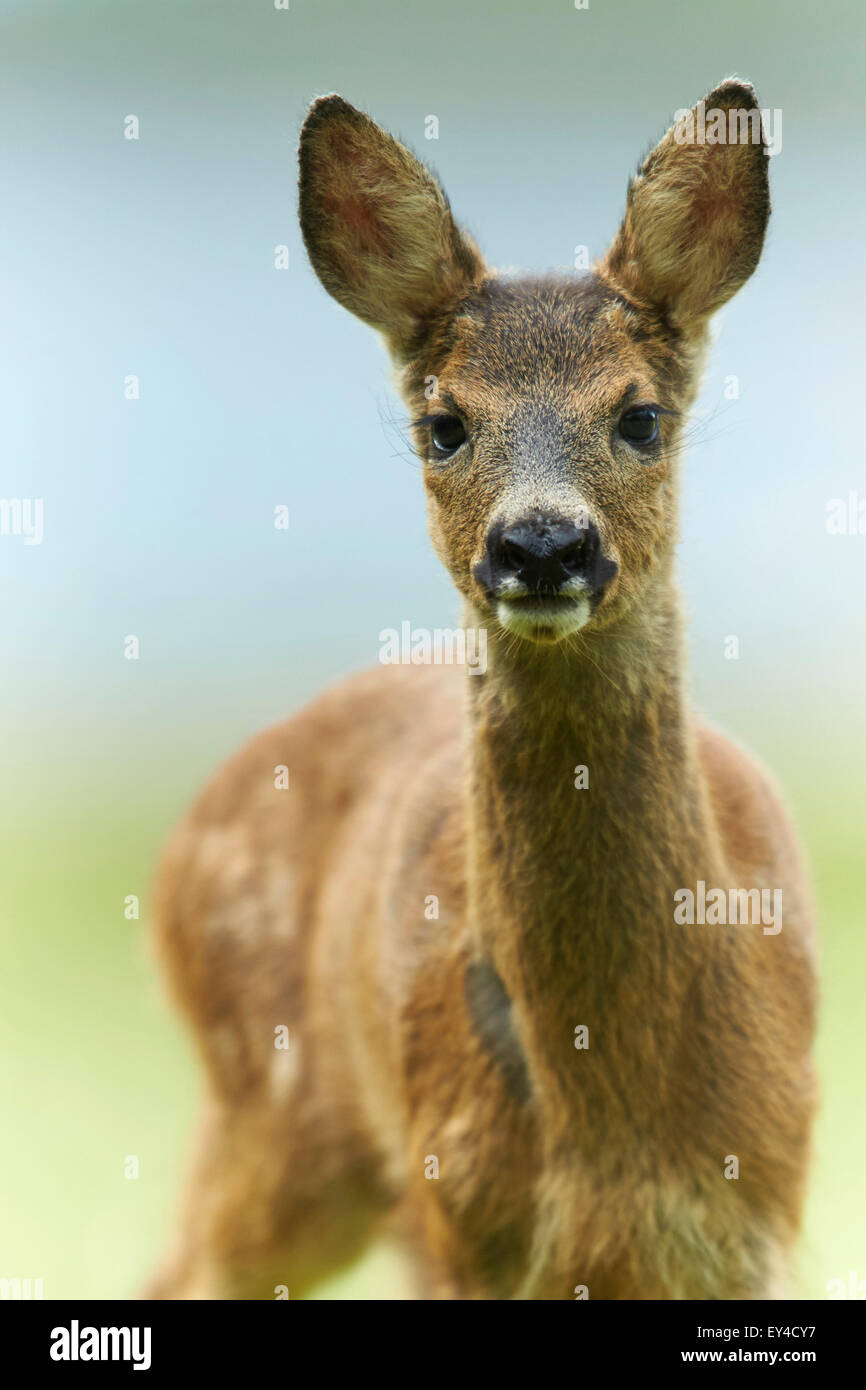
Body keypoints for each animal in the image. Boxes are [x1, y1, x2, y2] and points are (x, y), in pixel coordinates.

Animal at [147, 80, 817, 1300]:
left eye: (641, 417)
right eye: (443, 424)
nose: (541, 543)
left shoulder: (760, 1217)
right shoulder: (461, 1219)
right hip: (272, 1112)